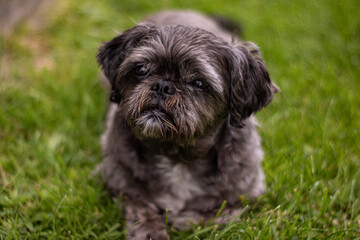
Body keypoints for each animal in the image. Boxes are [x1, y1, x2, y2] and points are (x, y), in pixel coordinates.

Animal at [95, 10, 278, 239]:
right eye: (141, 69)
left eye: (198, 83)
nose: (162, 86)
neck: (177, 156)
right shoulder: (117, 179)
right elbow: (140, 204)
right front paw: (149, 230)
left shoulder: (248, 194)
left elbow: (220, 215)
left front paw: (183, 220)